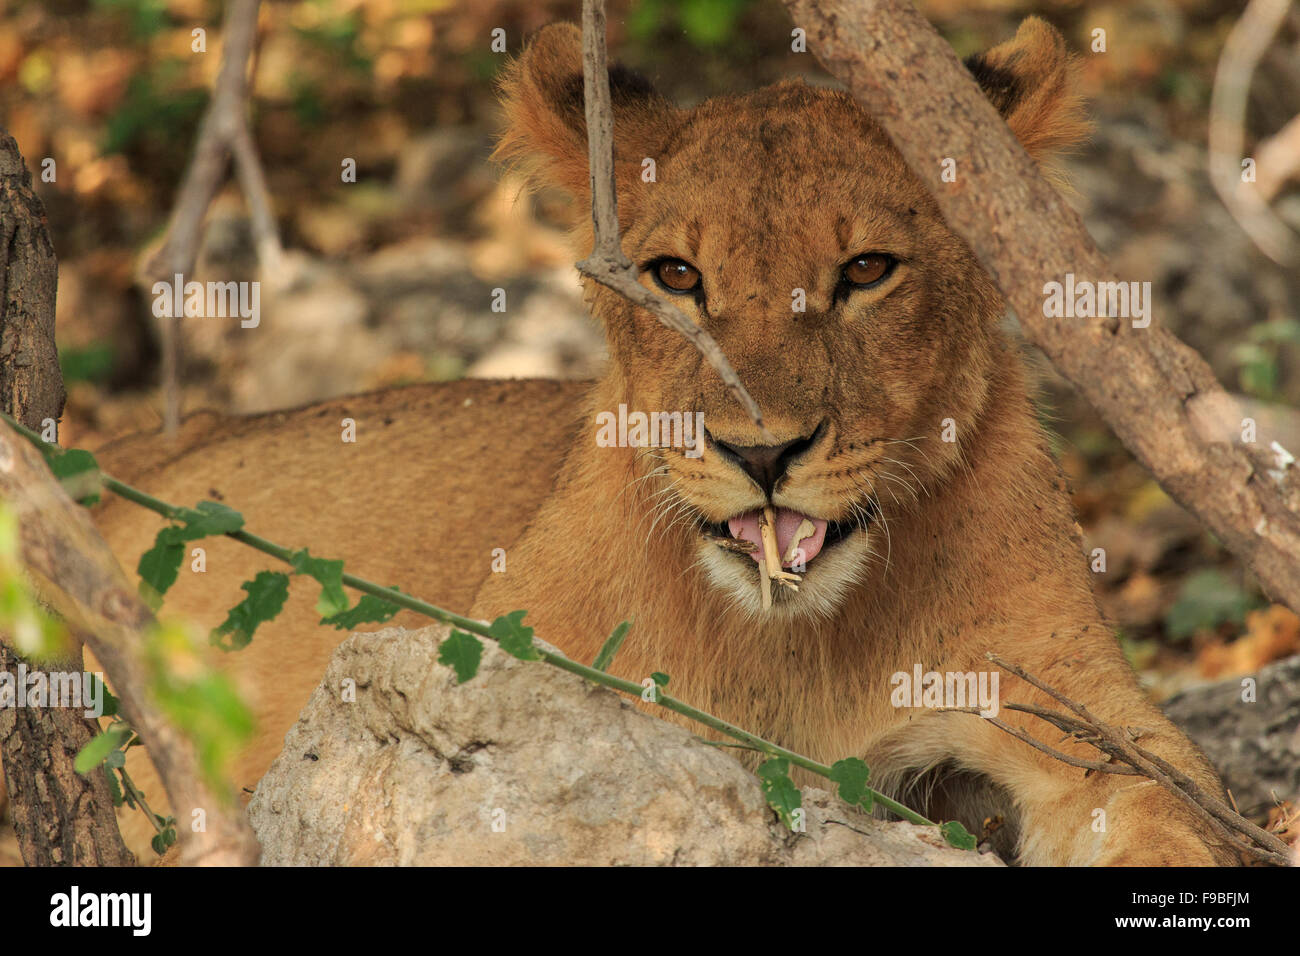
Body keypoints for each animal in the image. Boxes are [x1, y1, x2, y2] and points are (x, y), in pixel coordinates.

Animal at [56, 17, 1233, 865]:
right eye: (675, 277)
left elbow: (1175, 811)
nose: (762, 454)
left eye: (866, 271)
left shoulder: (1079, 707)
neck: (793, 644)